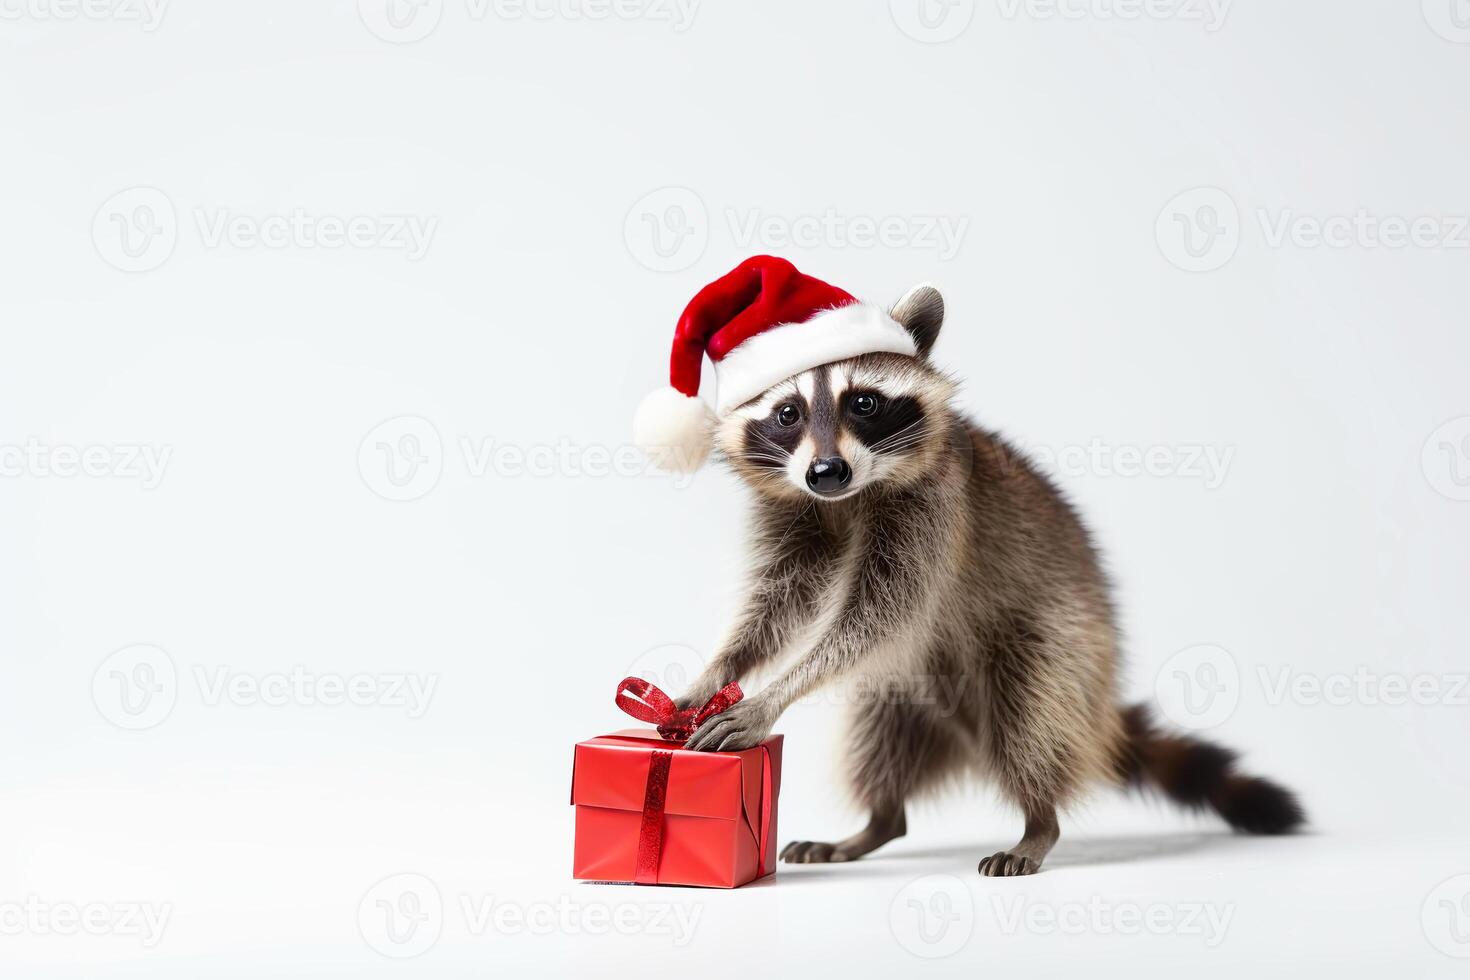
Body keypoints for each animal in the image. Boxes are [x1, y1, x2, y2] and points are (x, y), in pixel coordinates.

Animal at [673, 279, 1305, 875]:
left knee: (1031, 721)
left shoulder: (934, 509)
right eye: (788, 413)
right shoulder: (793, 511)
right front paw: (720, 668)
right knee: (879, 736)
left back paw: (1039, 820)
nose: (827, 471)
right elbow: (779, 602)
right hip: (908, 693)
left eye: (864, 403)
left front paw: (772, 696)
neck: (848, 498)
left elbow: (880, 616)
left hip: (1061, 643)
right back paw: (878, 821)